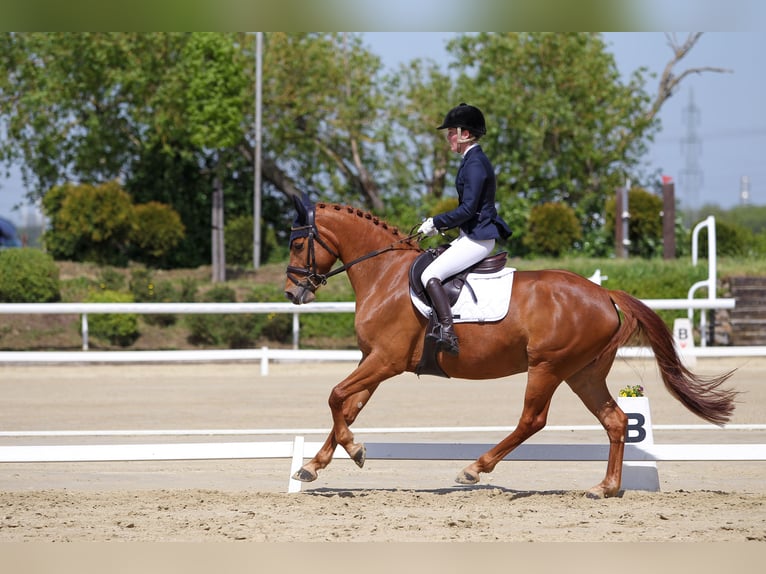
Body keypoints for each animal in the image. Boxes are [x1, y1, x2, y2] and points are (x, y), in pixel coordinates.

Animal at [286, 196, 736, 498]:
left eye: (297, 244)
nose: (293, 293)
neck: (385, 274)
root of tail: (605, 294)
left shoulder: (386, 360)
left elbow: (336, 396)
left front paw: (354, 450)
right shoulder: (374, 360)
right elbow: (348, 407)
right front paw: (313, 466)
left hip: (548, 367)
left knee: (532, 420)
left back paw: (474, 469)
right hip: (584, 372)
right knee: (616, 421)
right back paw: (605, 488)